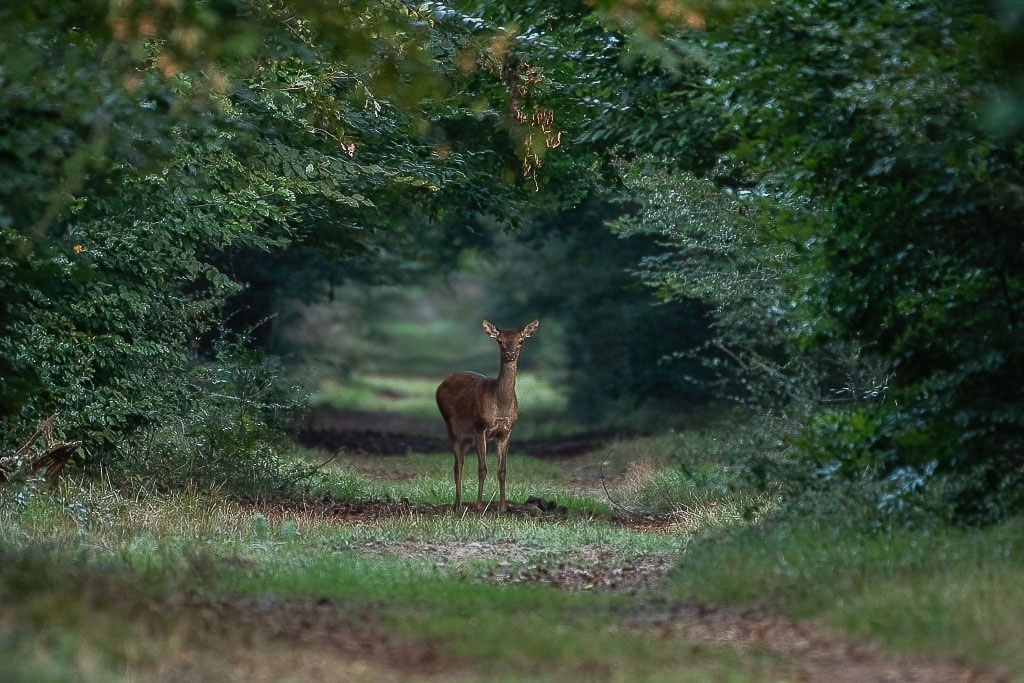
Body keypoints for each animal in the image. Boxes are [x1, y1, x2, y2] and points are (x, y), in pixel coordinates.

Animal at [436, 319, 540, 511]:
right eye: (500, 341)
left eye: (521, 341)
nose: (510, 354)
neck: (500, 407)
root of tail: (442, 384)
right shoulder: (480, 427)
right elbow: (482, 469)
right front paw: (479, 507)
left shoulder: (507, 431)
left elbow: (502, 470)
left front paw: (503, 508)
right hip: (452, 427)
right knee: (458, 465)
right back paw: (458, 506)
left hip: (467, 438)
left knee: (460, 462)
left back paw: (459, 504)